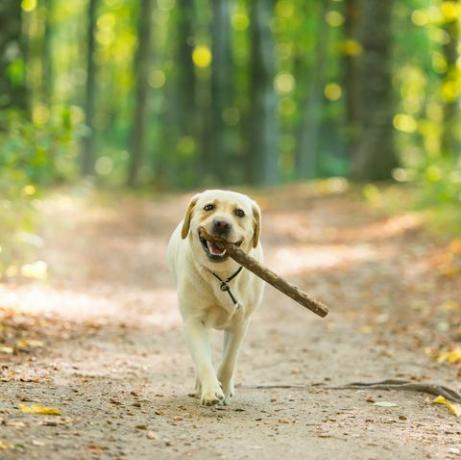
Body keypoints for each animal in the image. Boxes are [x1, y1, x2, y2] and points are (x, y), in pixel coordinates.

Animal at [167, 189, 264, 404]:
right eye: (209, 207)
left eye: (239, 212)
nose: (221, 224)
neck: (222, 276)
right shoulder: (194, 321)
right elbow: (204, 360)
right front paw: (211, 390)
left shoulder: (240, 324)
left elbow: (228, 362)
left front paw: (225, 388)